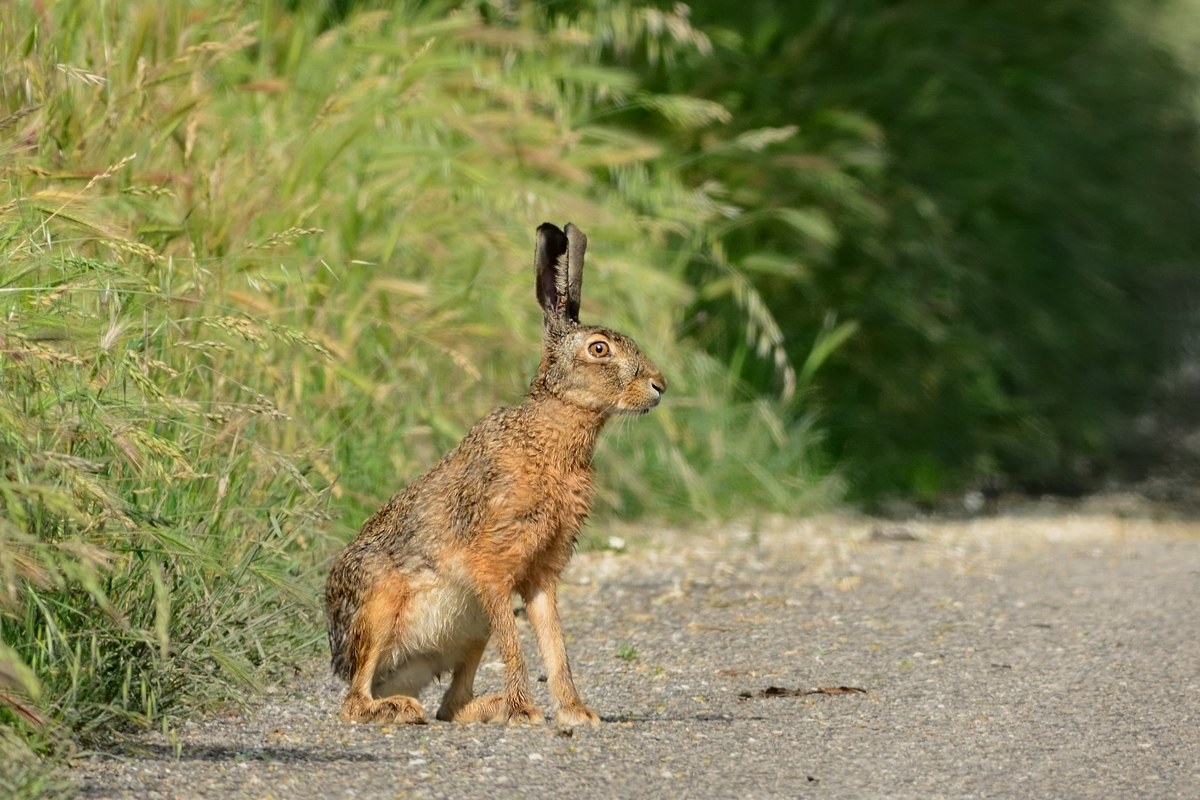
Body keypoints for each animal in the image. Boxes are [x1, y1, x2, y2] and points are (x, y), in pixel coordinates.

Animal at [324, 222, 666, 727]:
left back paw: (486, 707)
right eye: (599, 349)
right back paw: (398, 708)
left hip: (471, 629)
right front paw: (527, 712)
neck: (553, 435)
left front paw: (574, 712)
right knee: (353, 701)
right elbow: (516, 642)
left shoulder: (541, 573)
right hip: (379, 606)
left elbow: (554, 644)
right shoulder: (491, 564)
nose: (659, 386)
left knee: (451, 705)